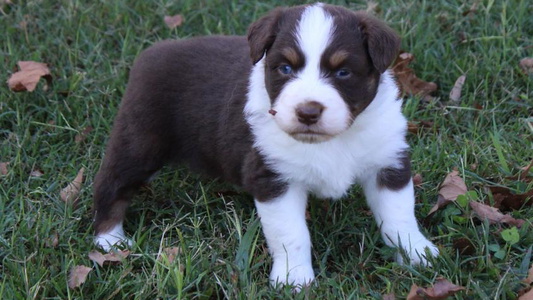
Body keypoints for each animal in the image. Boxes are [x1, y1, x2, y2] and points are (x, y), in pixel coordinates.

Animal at [93, 2, 438, 288]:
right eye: (285, 68)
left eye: (343, 72)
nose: (307, 112)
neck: (333, 139)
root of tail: (152, 51)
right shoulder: (274, 178)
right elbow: (291, 232)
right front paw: (293, 279)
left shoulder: (387, 161)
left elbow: (399, 215)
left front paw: (418, 254)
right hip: (140, 140)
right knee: (111, 184)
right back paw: (110, 242)